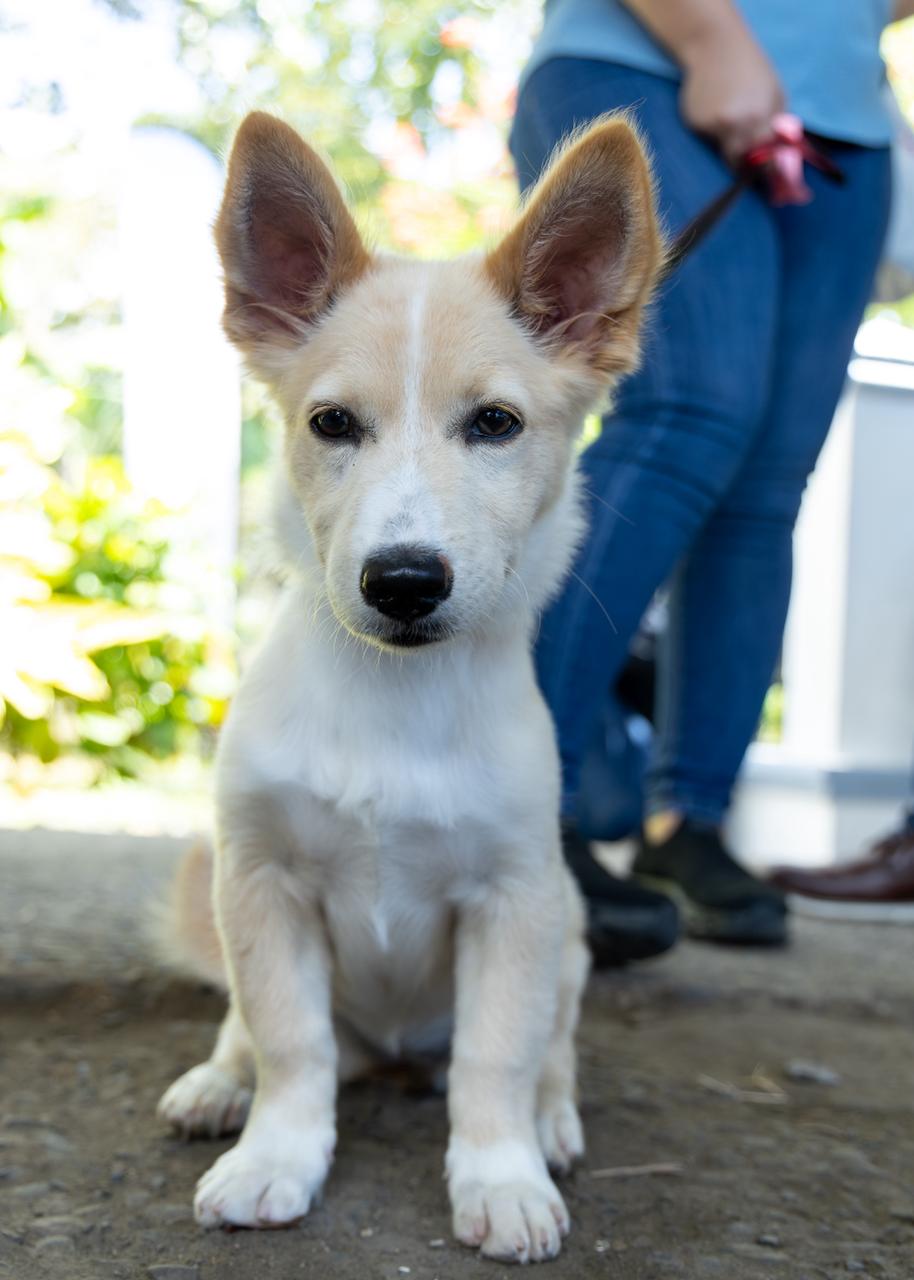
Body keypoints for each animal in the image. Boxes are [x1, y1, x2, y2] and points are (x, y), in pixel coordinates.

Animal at [157, 109, 661, 1263]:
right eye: (332, 424)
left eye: (495, 425)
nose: (402, 581)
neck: (394, 695)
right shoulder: (260, 880)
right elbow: (289, 1043)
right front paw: (273, 1155)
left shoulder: (516, 900)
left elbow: (494, 1058)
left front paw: (501, 1176)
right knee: (246, 1029)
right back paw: (216, 1084)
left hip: (571, 930)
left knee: (548, 1051)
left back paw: (550, 1124)